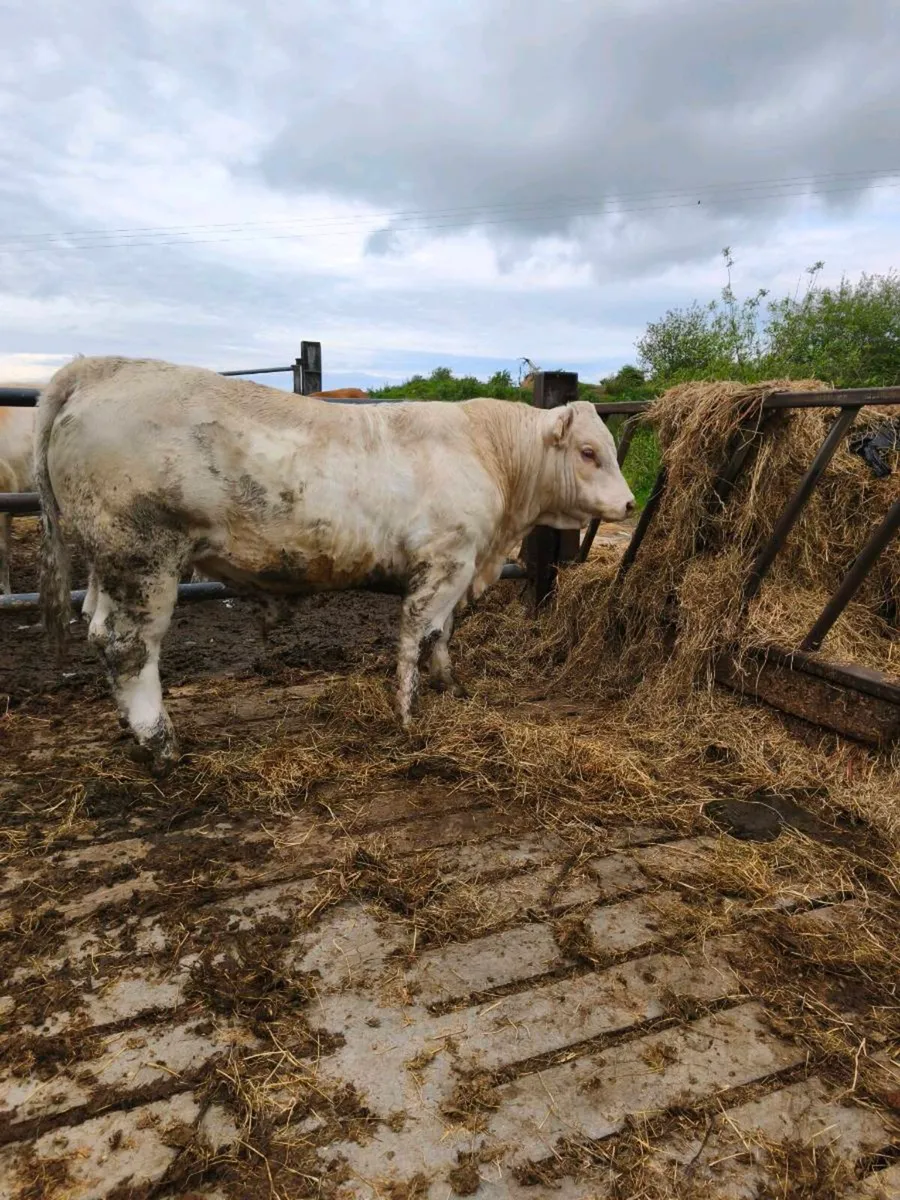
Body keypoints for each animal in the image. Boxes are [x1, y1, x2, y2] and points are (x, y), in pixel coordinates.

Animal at [35, 355, 634, 776]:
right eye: (587, 452)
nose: (629, 504)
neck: (487, 452)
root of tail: (97, 366)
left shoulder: (460, 568)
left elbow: (442, 633)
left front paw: (449, 686)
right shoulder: (444, 561)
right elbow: (418, 633)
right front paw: (408, 714)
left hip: (107, 565)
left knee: (97, 630)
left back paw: (131, 732)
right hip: (144, 557)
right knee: (130, 646)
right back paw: (160, 743)